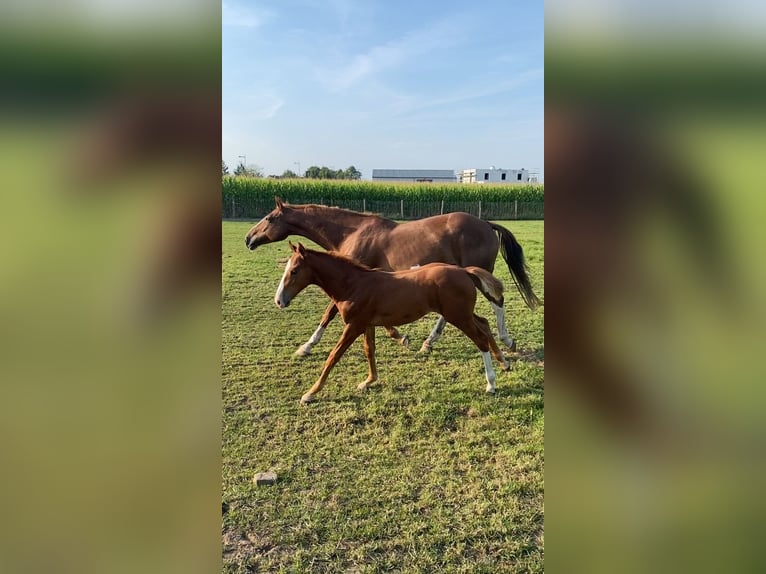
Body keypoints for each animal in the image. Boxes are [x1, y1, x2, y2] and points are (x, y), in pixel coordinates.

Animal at [246, 200, 540, 358]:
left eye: (269, 218)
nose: (248, 238)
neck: (353, 233)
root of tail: (486, 224)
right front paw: (400, 337)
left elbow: (328, 313)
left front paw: (306, 346)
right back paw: (429, 342)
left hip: (476, 272)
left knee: (496, 300)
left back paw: (507, 341)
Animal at [276, 243, 510, 404]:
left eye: (294, 270)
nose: (279, 301)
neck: (354, 284)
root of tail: (464, 271)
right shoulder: (367, 325)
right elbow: (369, 350)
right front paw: (368, 381)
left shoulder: (353, 326)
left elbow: (333, 357)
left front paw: (310, 393)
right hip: (462, 314)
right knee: (484, 324)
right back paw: (503, 362)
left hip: (458, 316)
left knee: (480, 339)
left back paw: (491, 384)